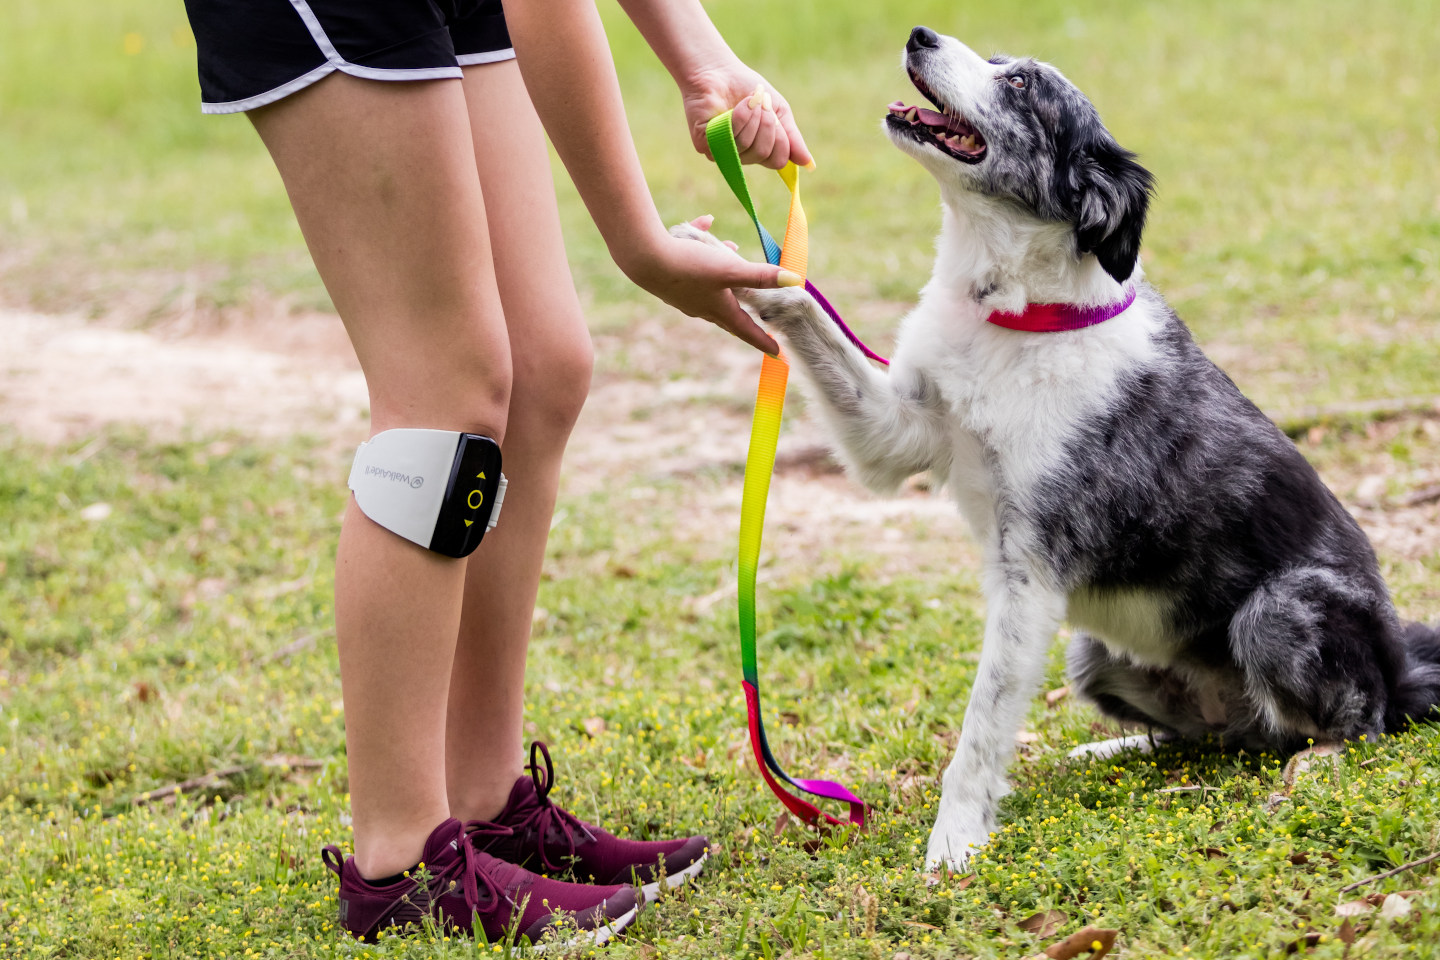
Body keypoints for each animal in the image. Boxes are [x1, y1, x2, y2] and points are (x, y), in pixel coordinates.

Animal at [671, 24, 1440, 869]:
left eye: (1022, 86)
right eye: (995, 61)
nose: (920, 33)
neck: (1017, 314)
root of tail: (1406, 667)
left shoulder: (1029, 575)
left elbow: (980, 729)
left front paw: (953, 844)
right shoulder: (899, 432)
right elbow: (806, 314)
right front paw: (743, 266)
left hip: (1279, 612)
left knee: (1350, 725)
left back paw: (1318, 763)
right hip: (1093, 654)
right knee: (1230, 735)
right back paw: (1111, 750)